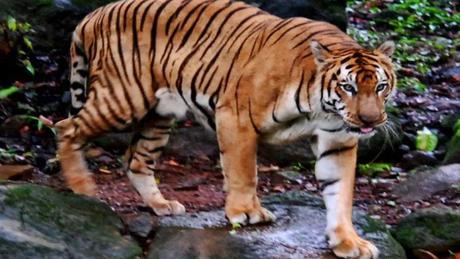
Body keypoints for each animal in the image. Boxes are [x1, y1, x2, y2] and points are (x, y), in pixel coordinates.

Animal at [56, 1, 396, 258]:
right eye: (348, 87)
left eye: (381, 86)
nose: (369, 121)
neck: (321, 107)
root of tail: (95, 13)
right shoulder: (236, 115)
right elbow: (243, 171)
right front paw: (246, 213)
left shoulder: (338, 140)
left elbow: (340, 192)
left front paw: (348, 242)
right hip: (122, 99)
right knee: (66, 128)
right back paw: (85, 191)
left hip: (159, 114)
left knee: (135, 159)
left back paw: (161, 205)